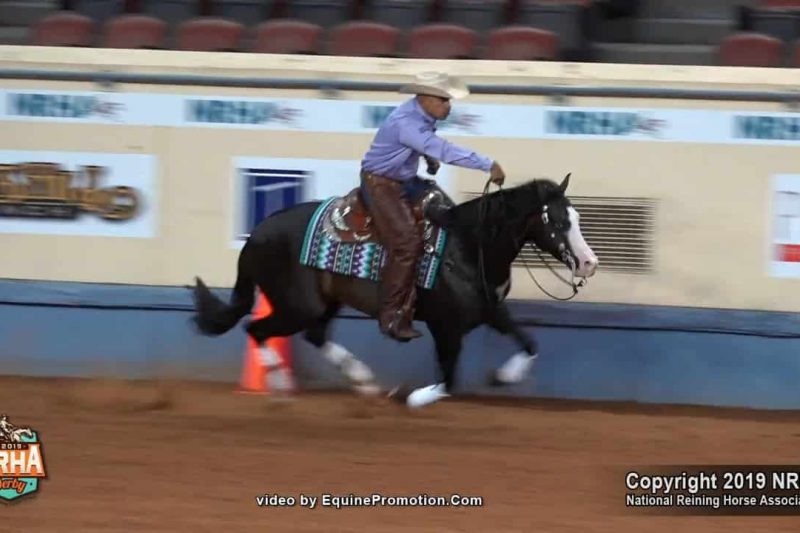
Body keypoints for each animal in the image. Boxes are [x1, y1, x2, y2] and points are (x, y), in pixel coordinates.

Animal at [190, 173, 599, 408]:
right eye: (558, 222)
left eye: (577, 217)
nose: (588, 262)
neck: (468, 245)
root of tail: (257, 233)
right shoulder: (445, 326)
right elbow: (448, 378)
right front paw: (419, 397)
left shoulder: (490, 311)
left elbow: (528, 342)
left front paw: (503, 377)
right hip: (296, 306)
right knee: (257, 329)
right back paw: (279, 385)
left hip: (323, 303)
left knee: (314, 335)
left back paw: (366, 383)